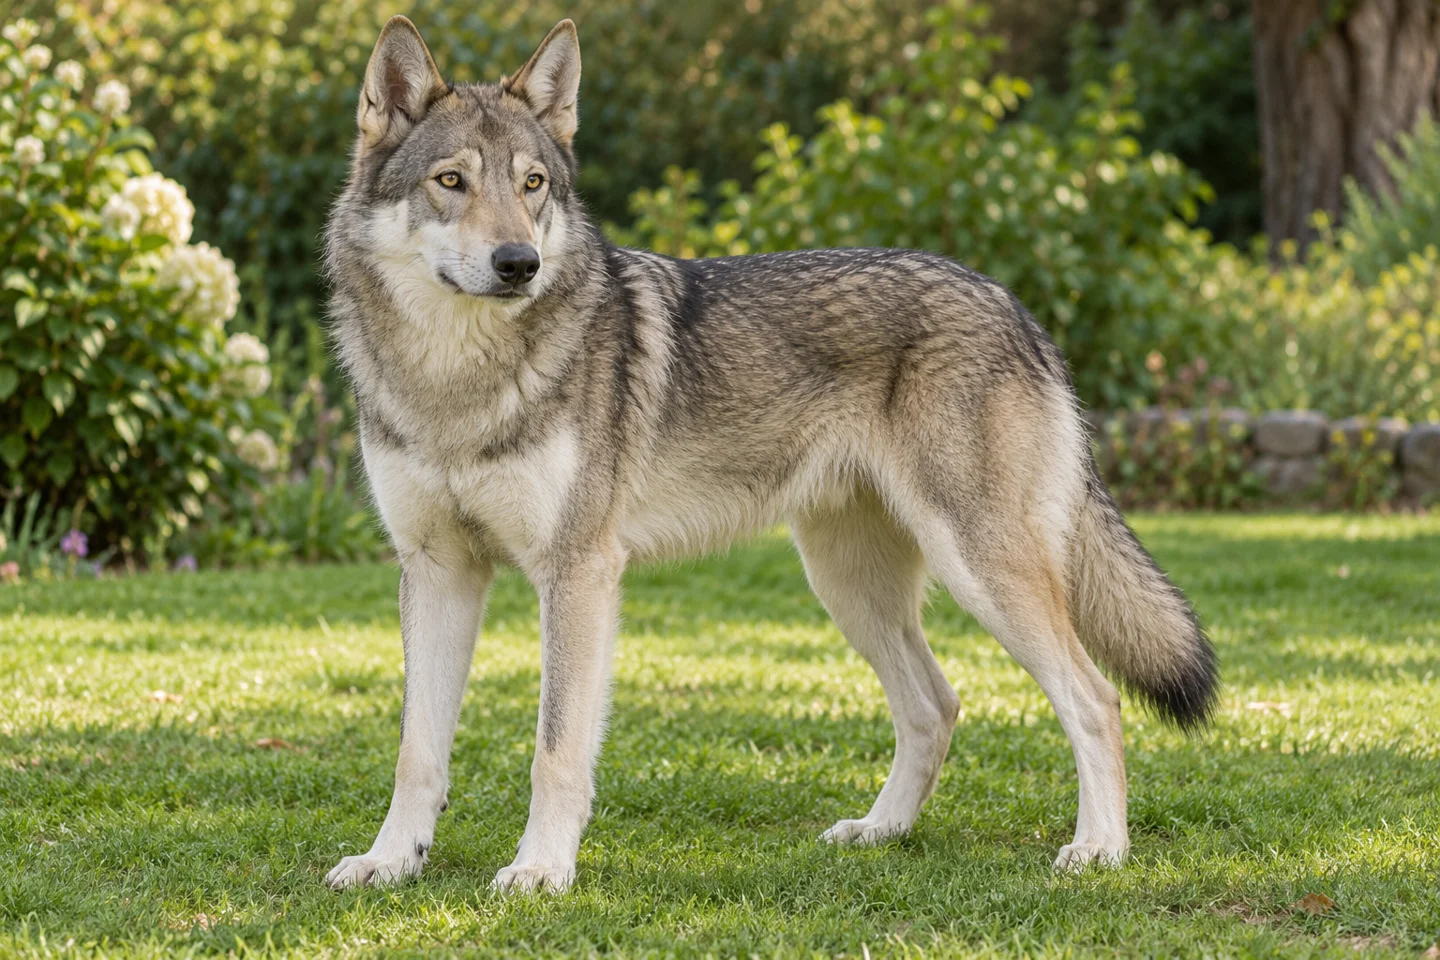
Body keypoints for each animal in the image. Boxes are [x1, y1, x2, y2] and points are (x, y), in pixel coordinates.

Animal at [321, 15, 1219, 893]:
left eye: (532, 184)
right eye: (451, 182)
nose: (519, 264)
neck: (454, 378)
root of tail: (1017, 306)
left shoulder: (576, 574)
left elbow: (556, 750)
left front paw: (542, 868)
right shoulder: (438, 572)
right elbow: (416, 752)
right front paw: (391, 860)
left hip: (978, 570)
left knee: (1094, 700)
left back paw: (1099, 850)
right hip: (850, 586)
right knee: (937, 706)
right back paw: (879, 831)